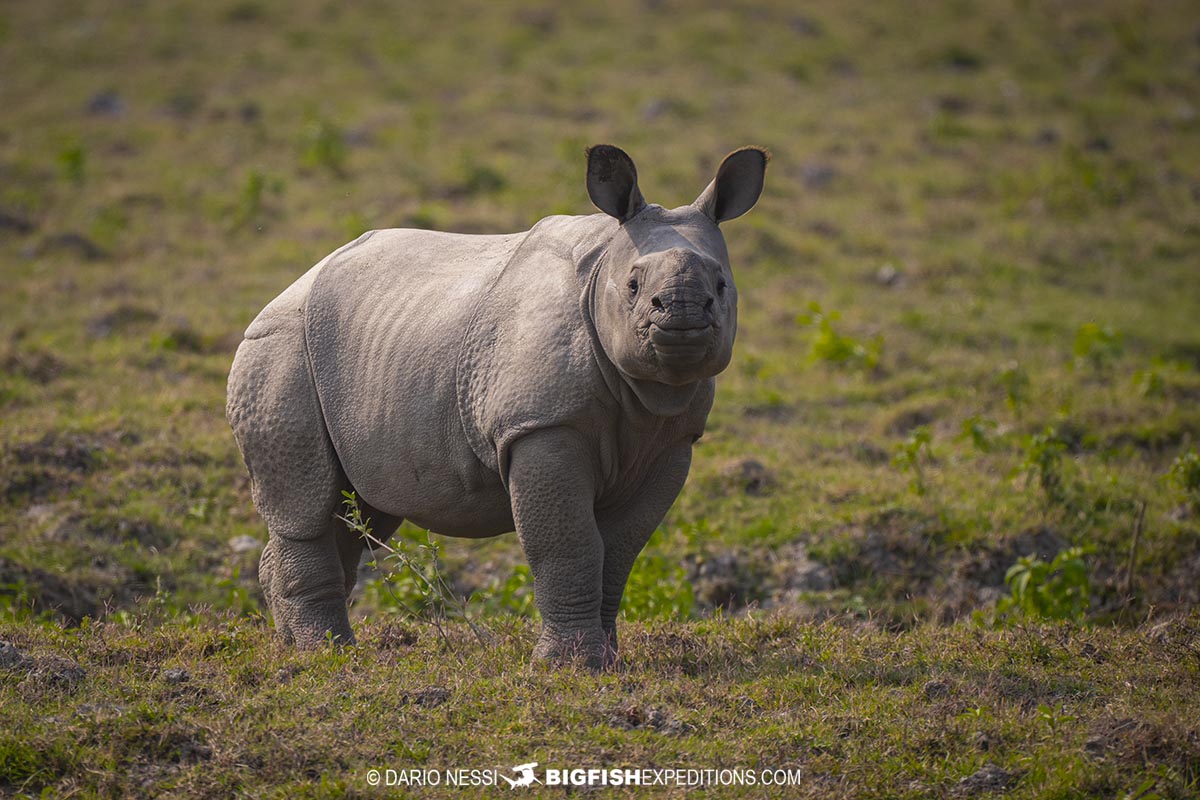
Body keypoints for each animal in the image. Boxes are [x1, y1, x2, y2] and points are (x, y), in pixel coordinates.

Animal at [226, 144, 768, 668]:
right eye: (633, 287)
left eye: (722, 286)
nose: (681, 310)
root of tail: (292, 285)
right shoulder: (540, 424)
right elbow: (570, 545)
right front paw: (568, 666)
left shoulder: (673, 440)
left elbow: (618, 551)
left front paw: (610, 661)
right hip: (279, 345)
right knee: (310, 507)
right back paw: (329, 653)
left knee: (362, 511)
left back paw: (297, 646)